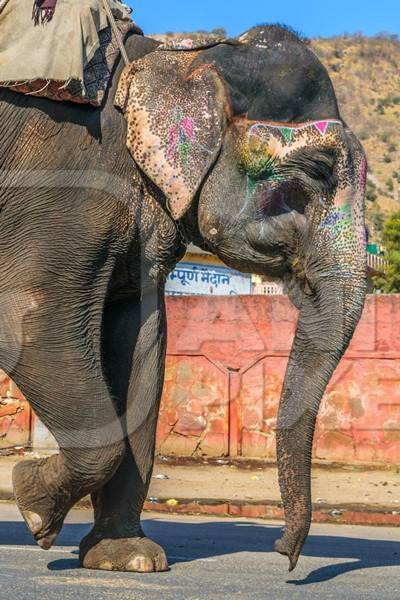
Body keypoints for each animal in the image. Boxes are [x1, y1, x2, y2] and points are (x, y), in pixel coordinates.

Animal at [0, 25, 368, 576]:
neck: (172, 58)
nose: (283, 553)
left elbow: (142, 346)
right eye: (319, 171)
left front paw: (126, 558)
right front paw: (32, 504)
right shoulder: (64, 183)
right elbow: (31, 321)